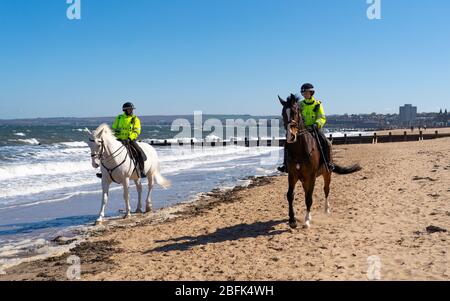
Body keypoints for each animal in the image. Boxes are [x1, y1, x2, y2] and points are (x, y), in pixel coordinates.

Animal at [278, 94, 362, 227]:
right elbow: (290, 195)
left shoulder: (311, 176)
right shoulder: (292, 175)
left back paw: (326, 209)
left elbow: (309, 198)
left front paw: (307, 221)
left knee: (326, 190)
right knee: (307, 192)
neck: (299, 151)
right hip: (304, 179)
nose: (290, 136)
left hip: (327, 174)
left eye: (295, 112)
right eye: (283, 113)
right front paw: (292, 220)